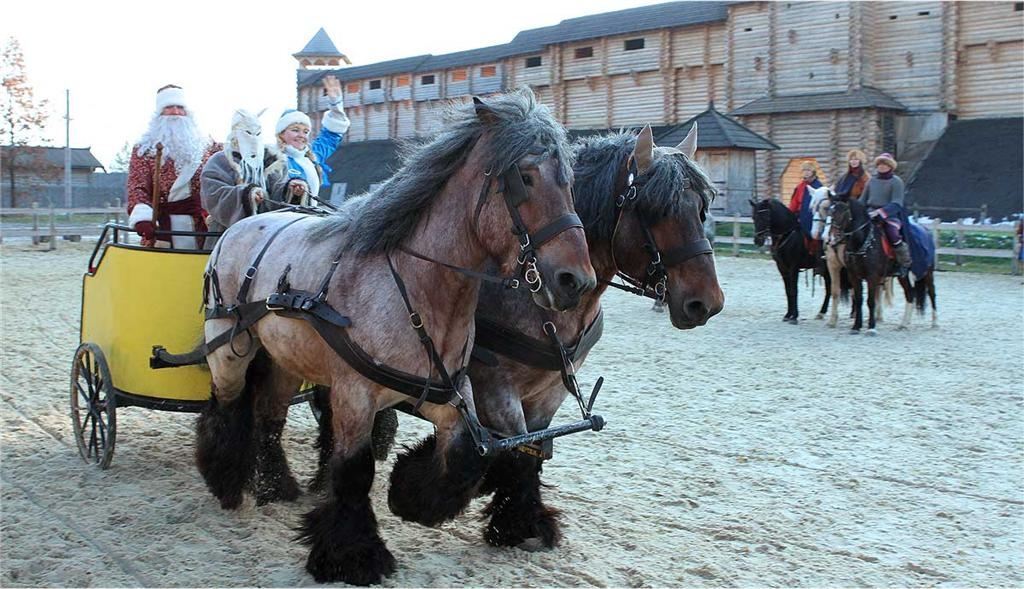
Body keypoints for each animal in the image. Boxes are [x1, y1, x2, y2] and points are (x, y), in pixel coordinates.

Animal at [195, 88, 598, 585]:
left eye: (568, 182)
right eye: (525, 177)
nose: (575, 281)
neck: (416, 286)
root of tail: (244, 222)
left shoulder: (448, 394)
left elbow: (467, 455)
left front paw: (412, 499)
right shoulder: (354, 396)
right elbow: (354, 471)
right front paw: (353, 555)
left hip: (287, 356)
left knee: (269, 415)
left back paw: (276, 485)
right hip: (229, 348)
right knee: (226, 406)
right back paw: (226, 478)